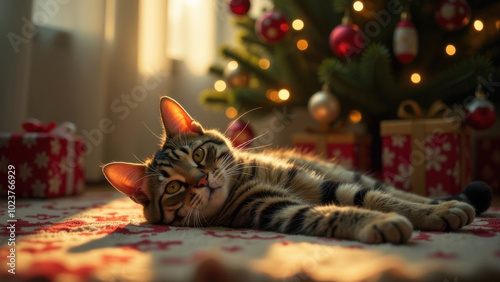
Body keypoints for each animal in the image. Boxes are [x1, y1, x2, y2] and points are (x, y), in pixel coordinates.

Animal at [102, 96, 492, 243]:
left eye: (198, 155)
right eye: (172, 188)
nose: (202, 179)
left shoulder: (324, 185)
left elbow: (384, 199)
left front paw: (435, 212)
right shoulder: (275, 209)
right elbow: (335, 214)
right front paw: (378, 224)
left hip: (342, 173)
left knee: (390, 189)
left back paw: (447, 201)